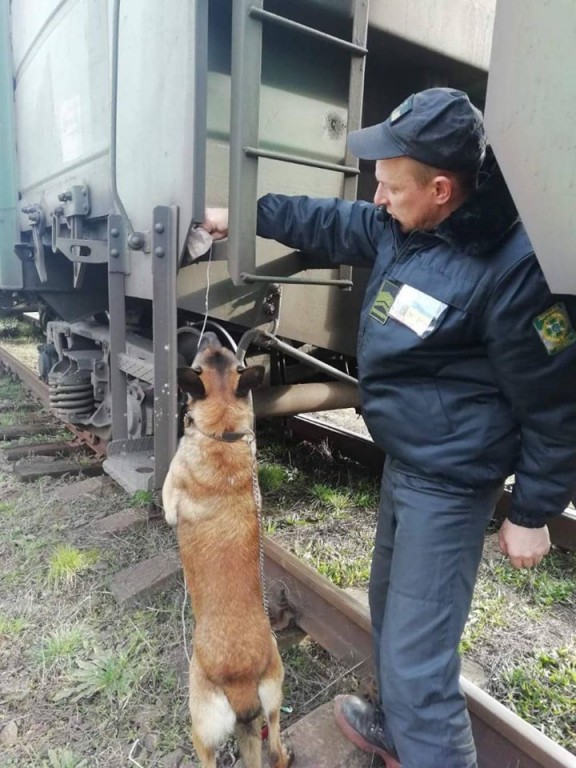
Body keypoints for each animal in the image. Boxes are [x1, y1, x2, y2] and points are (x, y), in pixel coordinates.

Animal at [164, 334, 294, 768]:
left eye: (202, 359)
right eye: (217, 355)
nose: (210, 334)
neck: (223, 433)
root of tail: (240, 682)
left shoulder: (168, 496)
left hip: (201, 724)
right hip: (271, 707)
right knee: (276, 749)